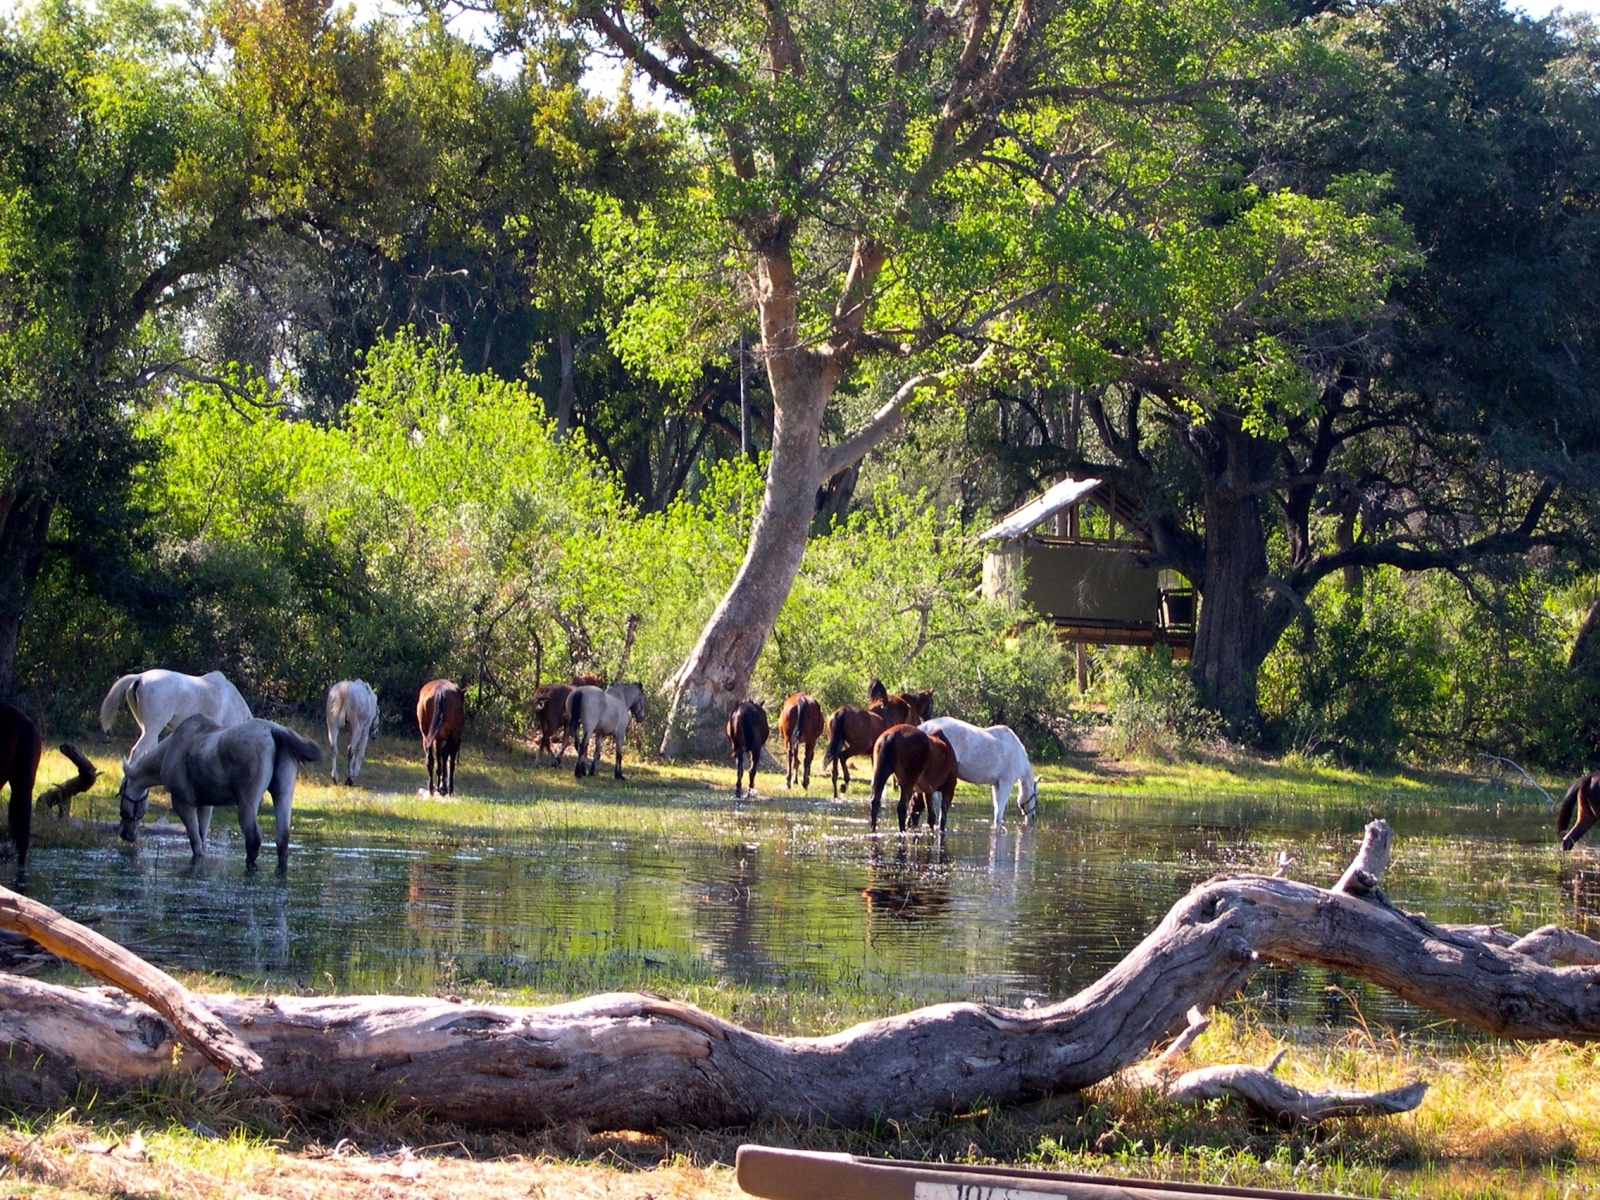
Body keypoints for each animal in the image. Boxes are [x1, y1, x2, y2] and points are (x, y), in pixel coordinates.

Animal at [117, 715, 322, 871]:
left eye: (120, 792)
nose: (125, 833)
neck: (164, 757)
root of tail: (275, 732)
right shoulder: (205, 804)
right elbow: (202, 838)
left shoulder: (182, 802)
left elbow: (196, 844)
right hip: (283, 793)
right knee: (282, 840)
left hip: (247, 799)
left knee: (253, 839)